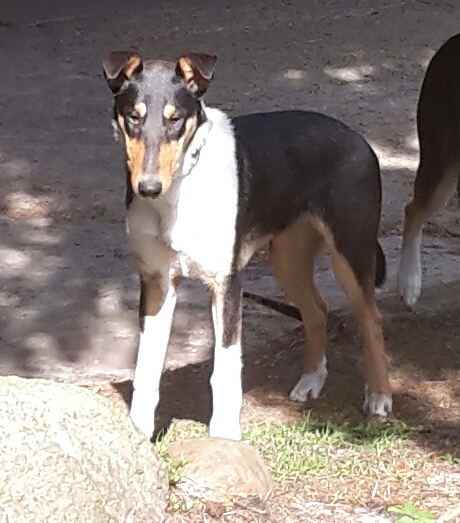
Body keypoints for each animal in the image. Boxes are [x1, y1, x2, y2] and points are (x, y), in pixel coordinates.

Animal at [102, 50, 394, 442]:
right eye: (133, 117)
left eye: (175, 119)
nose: (148, 188)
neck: (180, 193)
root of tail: (357, 138)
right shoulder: (157, 283)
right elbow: (147, 367)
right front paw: (138, 433)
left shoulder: (226, 283)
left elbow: (225, 368)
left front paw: (224, 435)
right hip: (288, 259)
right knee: (316, 311)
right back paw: (311, 380)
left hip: (351, 251)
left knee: (370, 319)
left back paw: (379, 396)